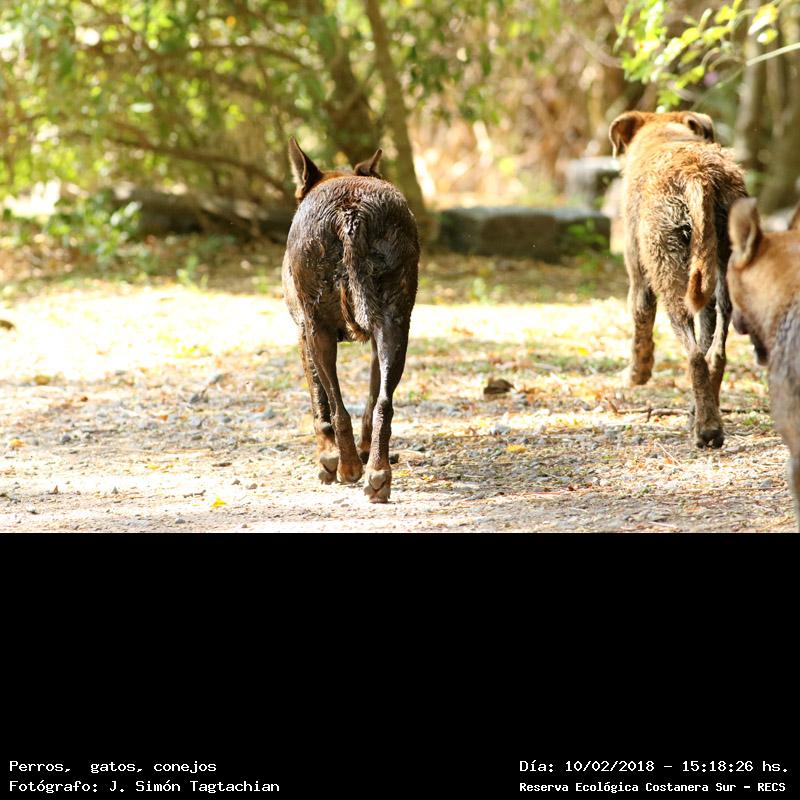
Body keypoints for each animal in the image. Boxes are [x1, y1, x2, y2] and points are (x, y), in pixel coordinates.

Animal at [282, 138, 419, 502]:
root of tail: (351, 211)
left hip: (319, 329)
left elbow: (319, 403)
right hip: (394, 324)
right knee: (383, 404)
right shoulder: (375, 341)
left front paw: (328, 459)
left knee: (338, 408)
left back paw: (348, 467)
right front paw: (365, 451)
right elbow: (371, 401)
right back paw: (377, 473)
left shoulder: (303, 334)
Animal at [608, 110, 748, 447]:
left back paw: (707, 430)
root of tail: (699, 176)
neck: (664, 134)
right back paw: (701, 417)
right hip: (721, 275)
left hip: (669, 277)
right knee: (715, 354)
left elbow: (640, 328)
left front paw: (636, 375)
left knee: (695, 355)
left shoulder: (639, 278)